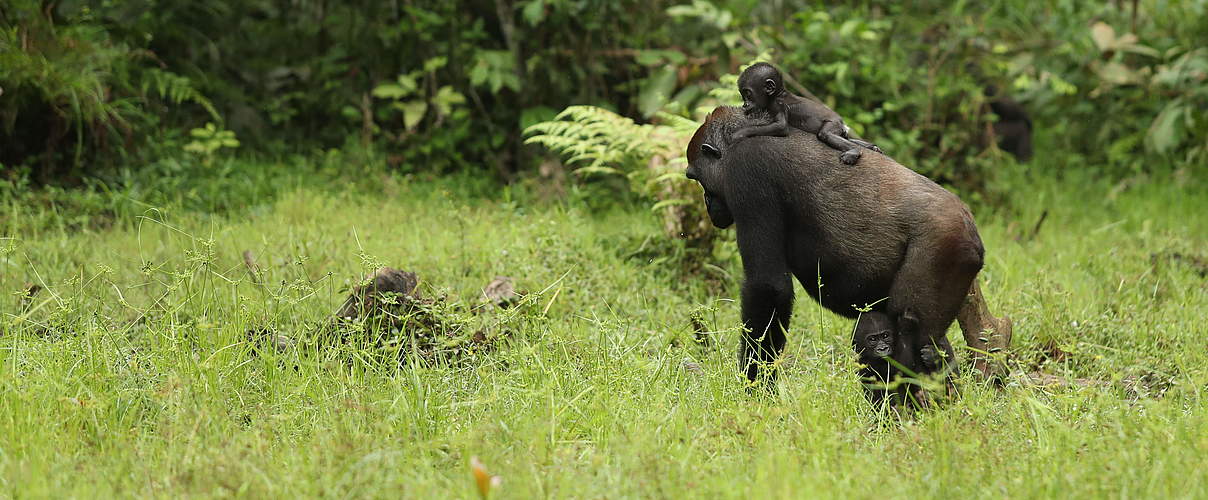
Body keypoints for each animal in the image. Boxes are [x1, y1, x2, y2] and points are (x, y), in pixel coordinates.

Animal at [686, 107, 985, 396]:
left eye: (697, 178)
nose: (707, 203)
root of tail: (968, 221)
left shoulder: (746, 171)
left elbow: (768, 287)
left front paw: (755, 389)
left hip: (946, 243)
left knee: (912, 328)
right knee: (931, 340)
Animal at [729, 61, 884, 165]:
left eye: (748, 94)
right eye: (743, 96)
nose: (745, 104)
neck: (777, 94)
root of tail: (843, 123)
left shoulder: (778, 104)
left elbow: (781, 127)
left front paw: (740, 133)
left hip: (834, 123)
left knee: (826, 134)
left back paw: (854, 151)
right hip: (841, 130)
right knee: (845, 137)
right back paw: (872, 147)